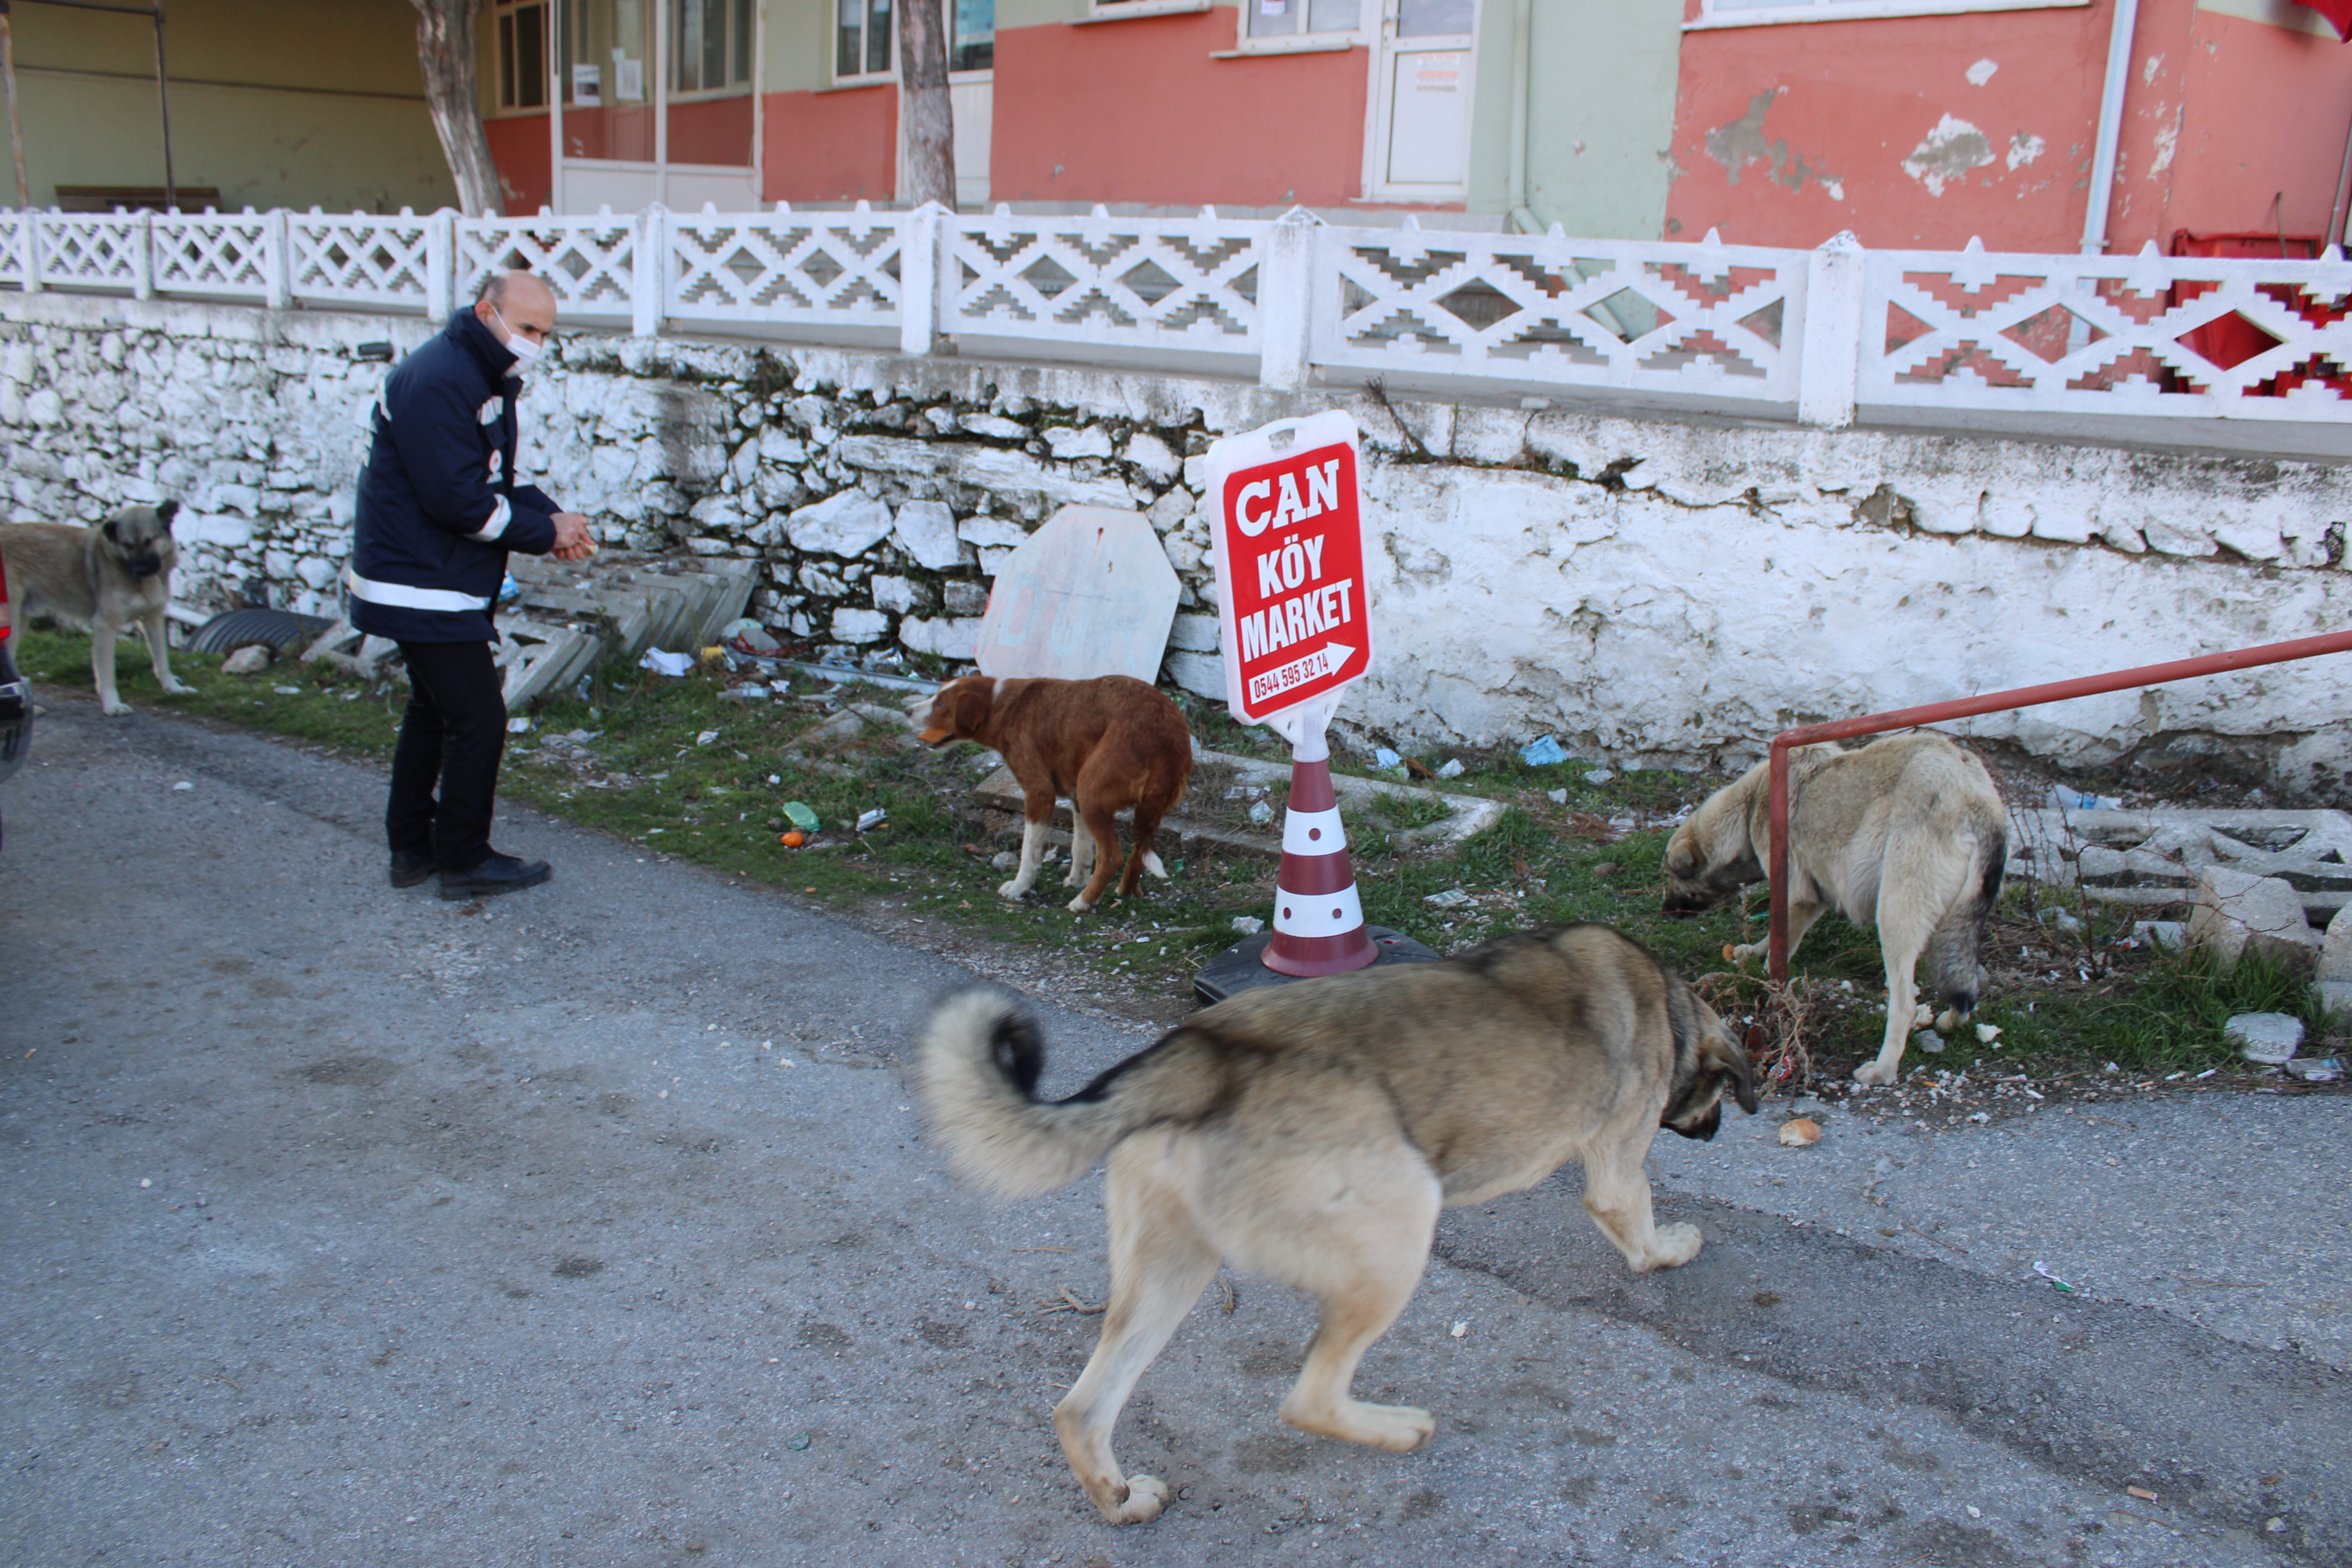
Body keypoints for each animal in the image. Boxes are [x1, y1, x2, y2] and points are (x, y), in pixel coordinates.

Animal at [907, 672, 1185, 912]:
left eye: (941, 703)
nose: (907, 711)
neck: (1003, 705)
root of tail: (1167, 738)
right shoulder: (1075, 796)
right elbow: (1080, 846)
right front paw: (1077, 880)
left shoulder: (1039, 793)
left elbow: (1029, 851)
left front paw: (1019, 887)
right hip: (1139, 808)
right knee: (1138, 852)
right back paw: (1125, 891)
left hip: (1092, 794)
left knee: (1112, 856)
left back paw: (1083, 903)